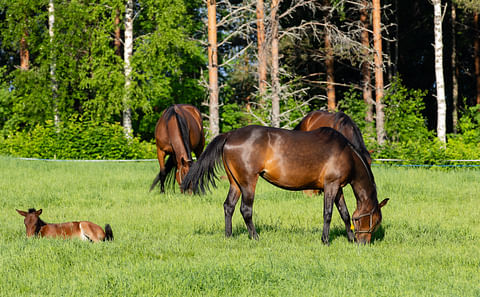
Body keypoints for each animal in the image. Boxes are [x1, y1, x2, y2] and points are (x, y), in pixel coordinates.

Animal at [182, 125, 388, 243]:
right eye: (375, 220)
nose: (363, 243)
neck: (347, 154)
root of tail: (230, 135)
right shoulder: (331, 185)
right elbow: (328, 213)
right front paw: (326, 240)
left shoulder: (337, 189)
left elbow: (344, 213)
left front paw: (350, 238)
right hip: (248, 181)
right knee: (245, 209)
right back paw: (255, 237)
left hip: (235, 182)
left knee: (229, 206)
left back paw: (228, 236)